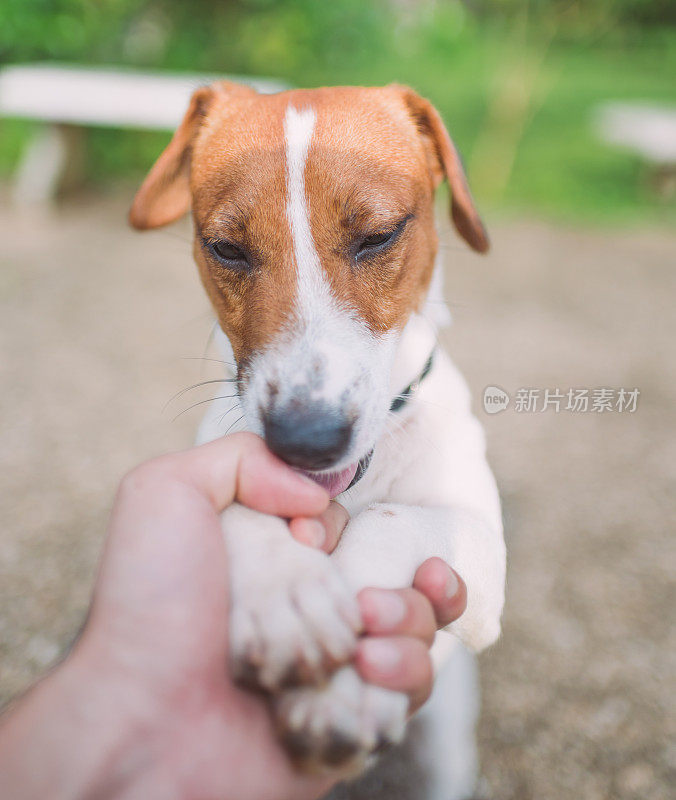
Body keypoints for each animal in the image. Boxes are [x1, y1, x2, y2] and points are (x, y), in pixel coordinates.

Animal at [129, 83, 504, 800]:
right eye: (226, 248)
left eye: (379, 236)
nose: (306, 439)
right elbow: (240, 505)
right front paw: (284, 593)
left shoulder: (480, 548)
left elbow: (391, 519)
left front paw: (339, 690)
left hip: (448, 723)